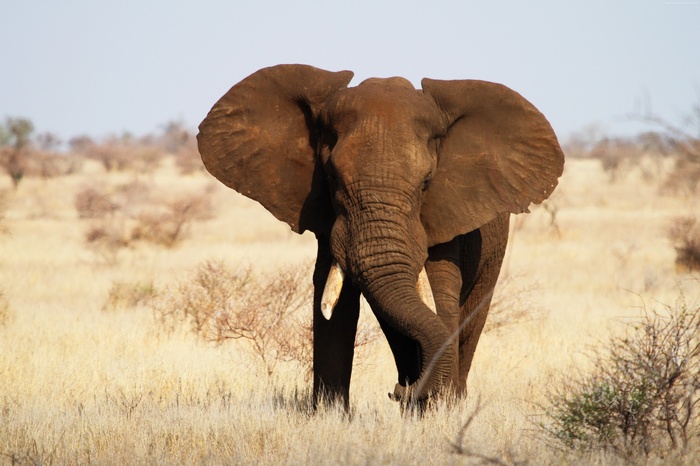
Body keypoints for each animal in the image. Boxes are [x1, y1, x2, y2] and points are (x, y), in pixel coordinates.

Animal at [197, 64, 564, 410]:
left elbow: (440, 295)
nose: (399, 390)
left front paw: (436, 414)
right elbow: (333, 299)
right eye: (332, 177)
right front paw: (332, 416)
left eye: (427, 183)